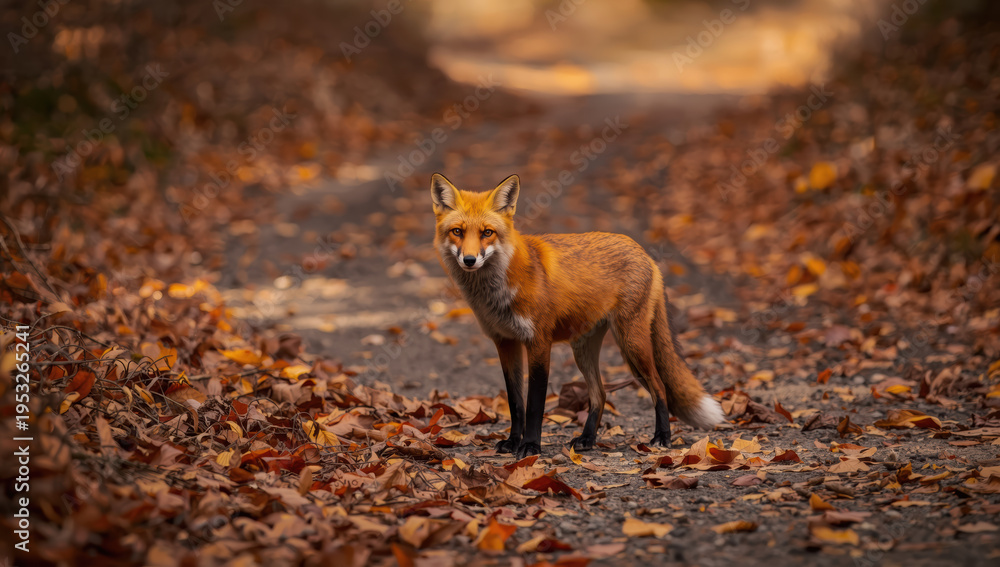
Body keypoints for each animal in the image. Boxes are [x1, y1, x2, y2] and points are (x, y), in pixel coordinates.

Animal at [430, 173, 724, 458]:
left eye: (487, 233)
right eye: (457, 232)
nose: (469, 260)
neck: (498, 291)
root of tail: (644, 252)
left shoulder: (539, 342)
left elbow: (534, 405)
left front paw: (530, 447)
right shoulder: (505, 342)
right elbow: (516, 403)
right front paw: (514, 442)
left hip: (632, 344)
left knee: (659, 386)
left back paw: (662, 437)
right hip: (584, 348)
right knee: (601, 394)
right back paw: (588, 439)